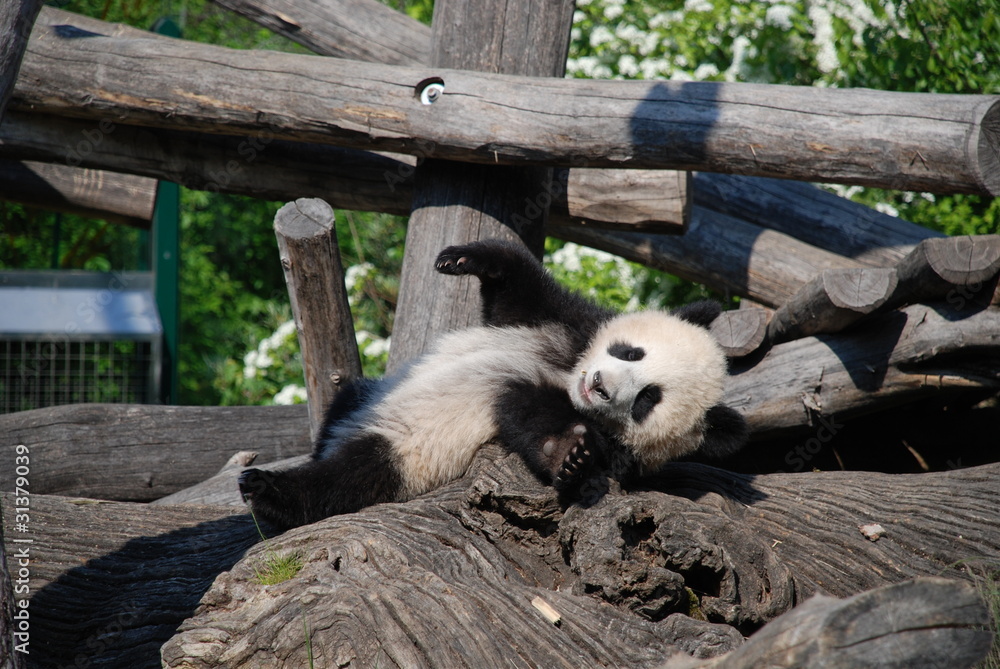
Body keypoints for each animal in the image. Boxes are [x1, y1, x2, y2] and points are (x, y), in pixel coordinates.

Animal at [239, 239, 747, 530]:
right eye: (631, 353)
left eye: (646, 400)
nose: (601, 387)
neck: (566, 374)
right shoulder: (561, 323)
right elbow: (517, 292)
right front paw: (463, 258)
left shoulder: (581, 423)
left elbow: (526, 411)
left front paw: (569, 454)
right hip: (370, 396)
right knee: (346, 402)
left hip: (407, 454)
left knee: (349, 478)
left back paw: (268, 490)